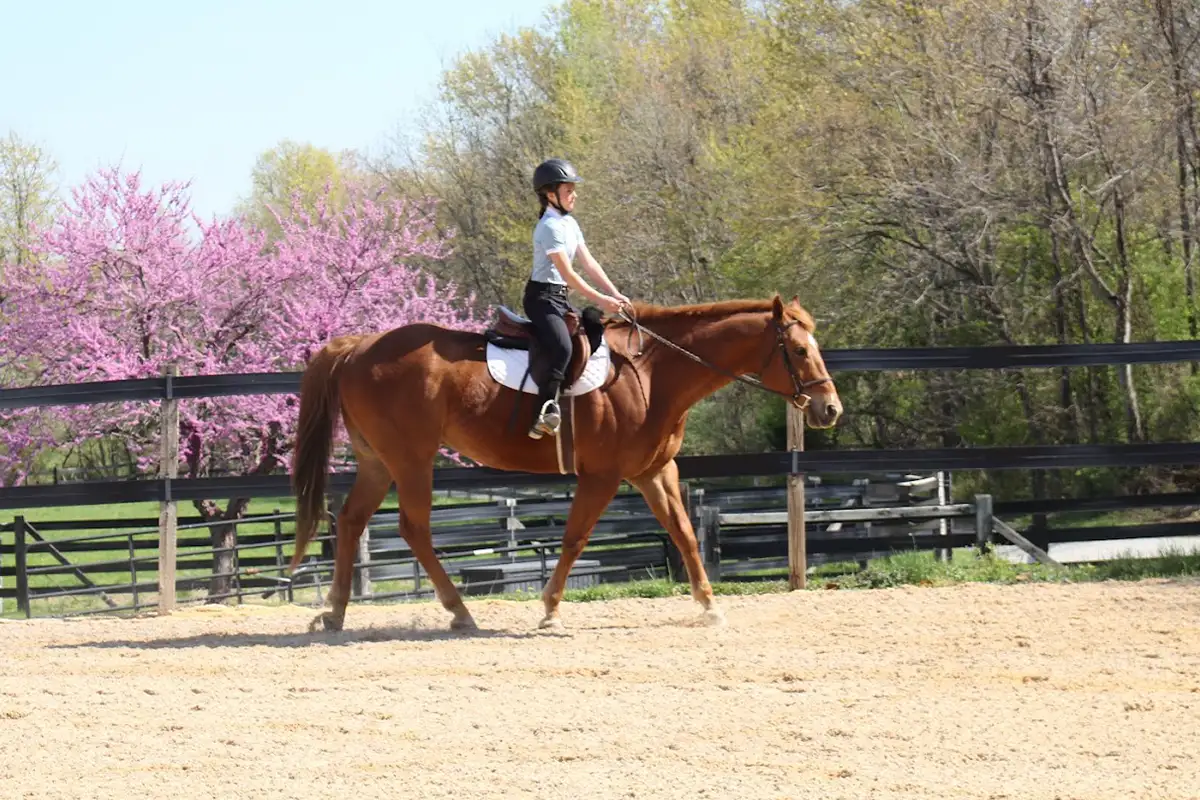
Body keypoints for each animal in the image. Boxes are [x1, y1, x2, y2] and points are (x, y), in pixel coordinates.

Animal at [289, 294, 842, 633]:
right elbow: (576, 537)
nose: (830, 409)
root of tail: (357, 346)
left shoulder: (654, 471)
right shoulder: (603, 475)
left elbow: (684, 533)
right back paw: (459, 611)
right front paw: (551, 609)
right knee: (413, 528)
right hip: (412, 460)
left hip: (378, 462)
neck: (650, 373)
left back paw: (335, 613)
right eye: (798, 349)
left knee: (351, 520)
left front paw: (709, 606)